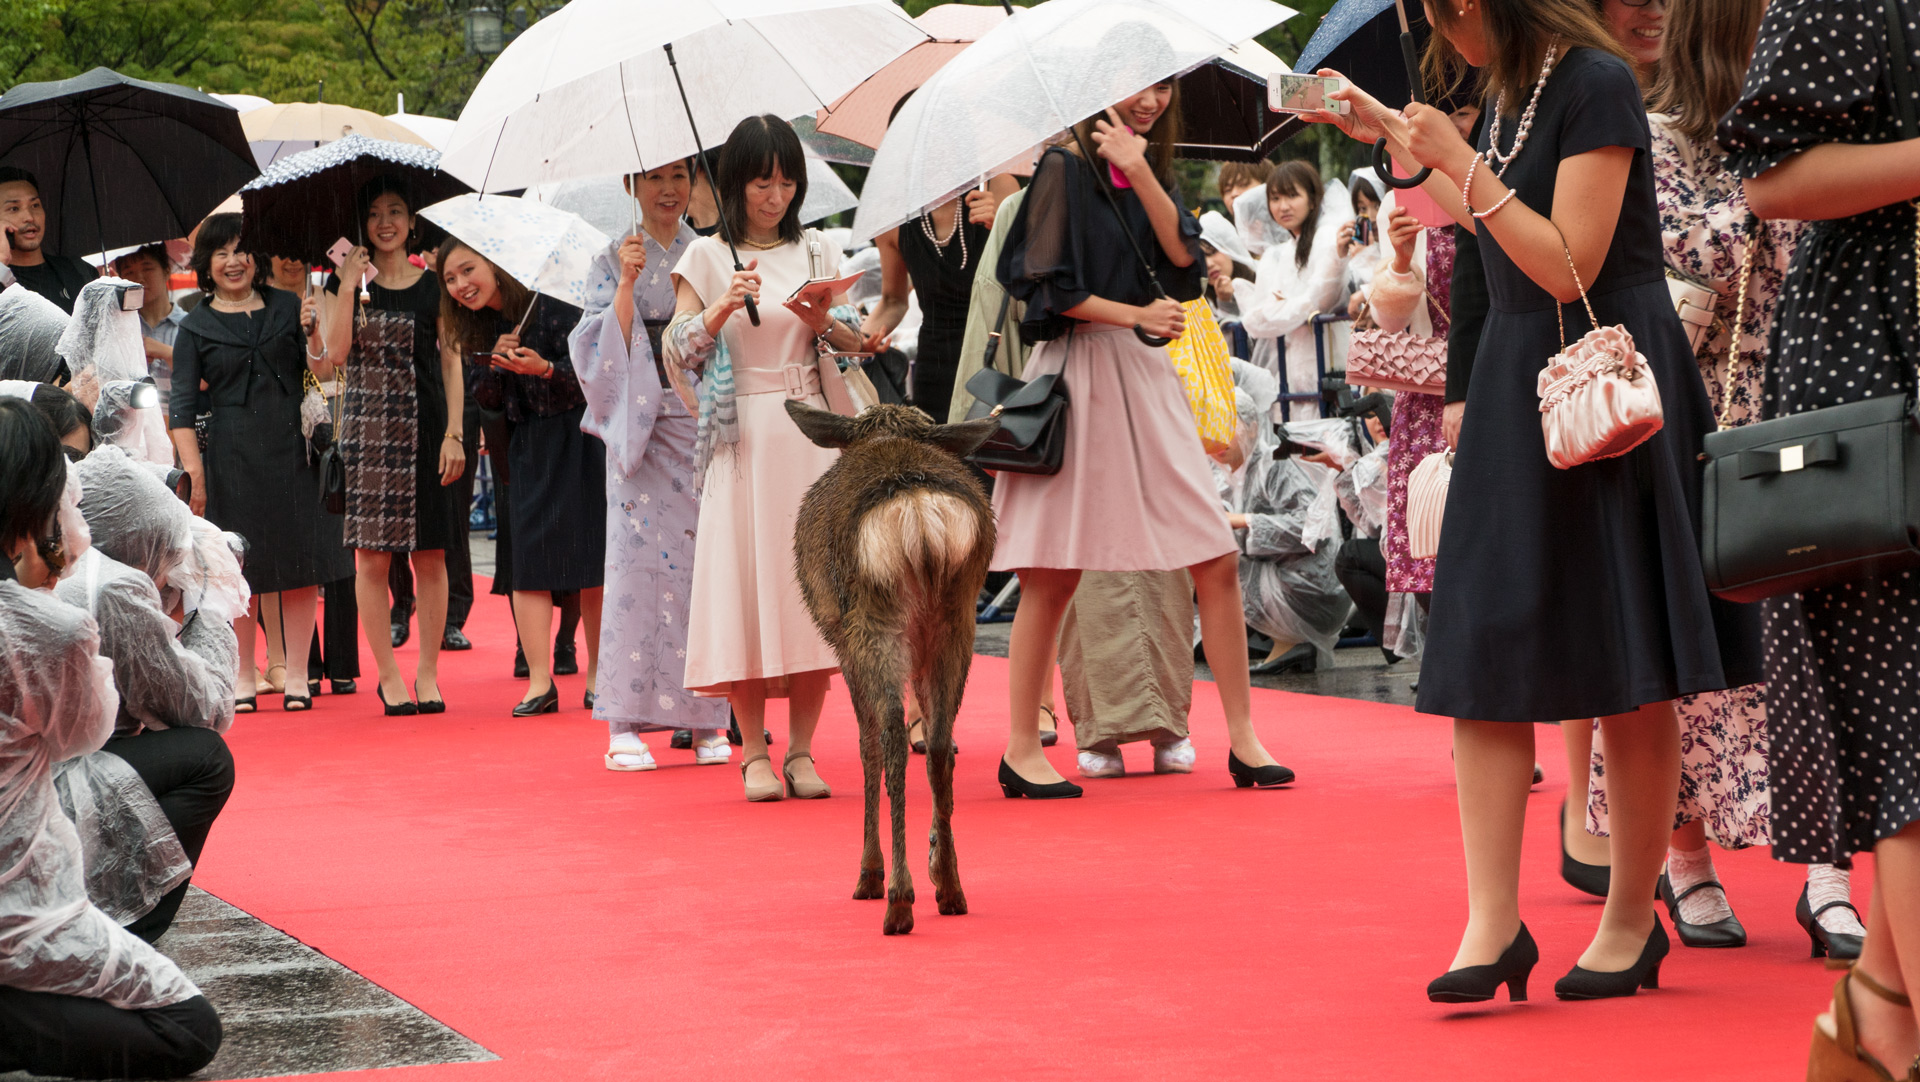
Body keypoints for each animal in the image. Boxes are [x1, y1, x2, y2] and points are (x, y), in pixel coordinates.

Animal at [783, 400, 998, 932]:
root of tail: (920, 517)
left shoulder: (841, 642)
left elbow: (867, 745)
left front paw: (869, 874)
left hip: (873, 626)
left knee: (893, 740)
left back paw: (898, 898)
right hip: (955, 623)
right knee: (939, 745)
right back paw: (950, 887)